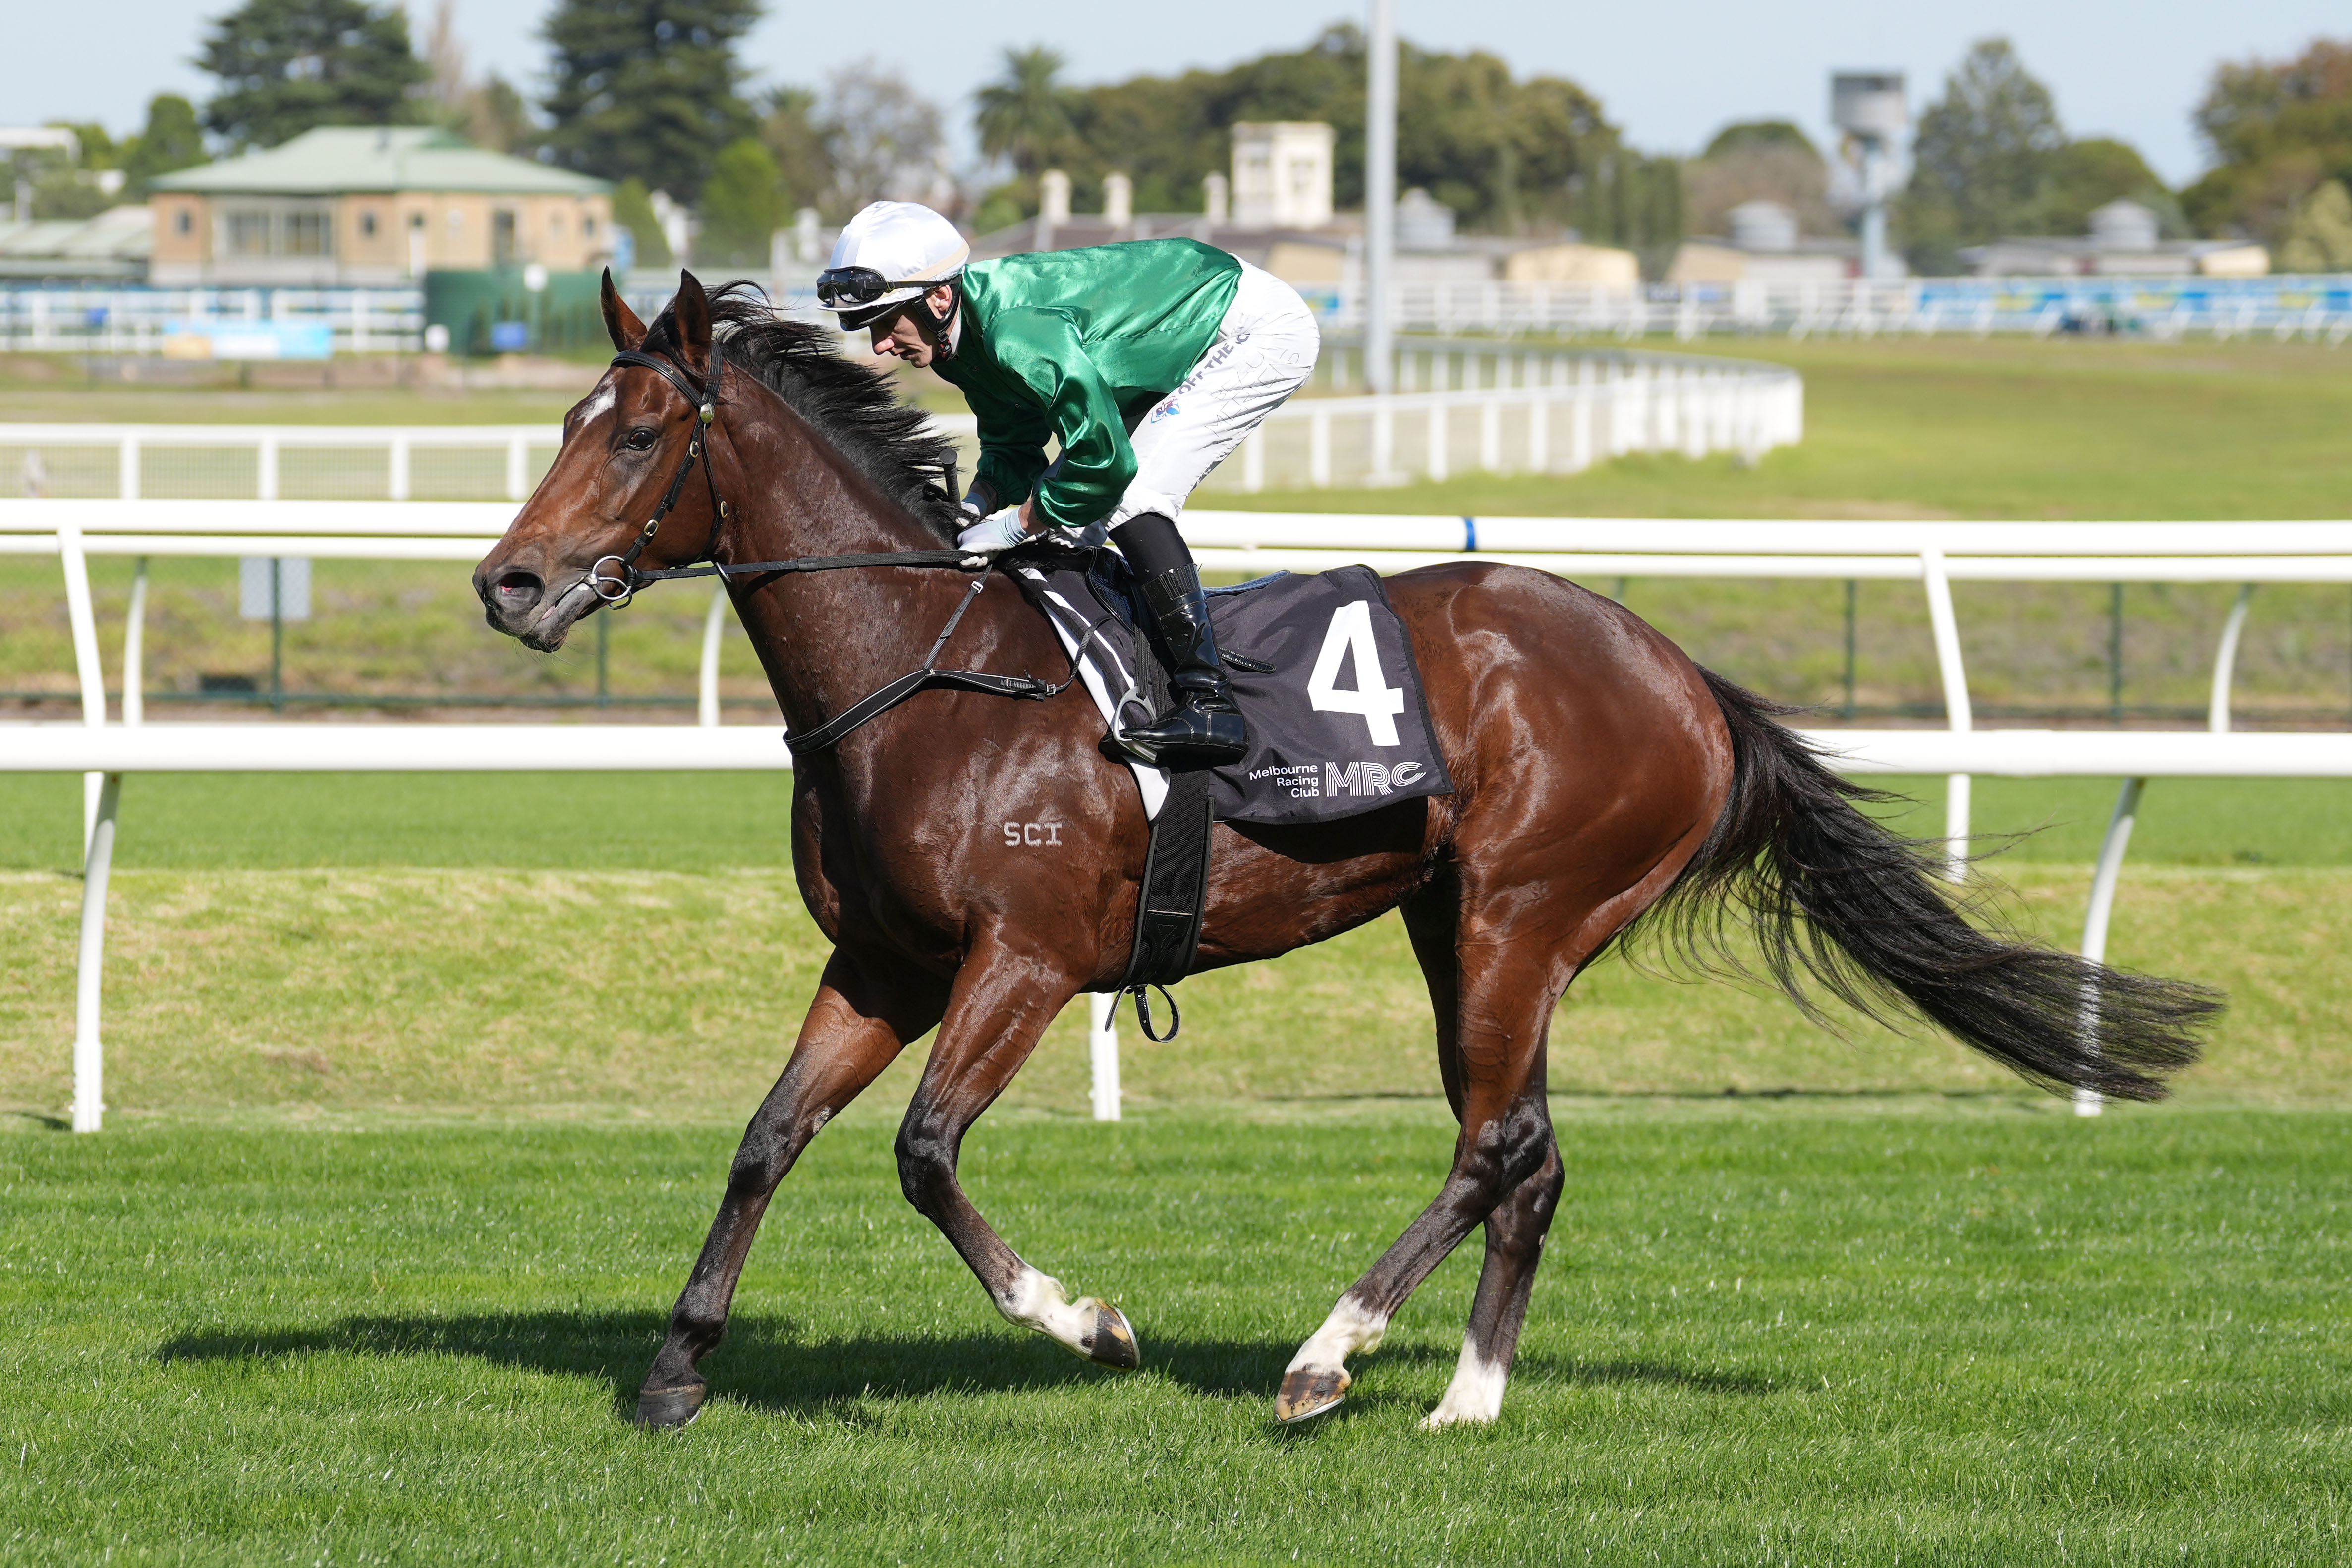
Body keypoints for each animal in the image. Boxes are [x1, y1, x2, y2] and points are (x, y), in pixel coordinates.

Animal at [473, 272, 2217, 1431]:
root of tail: (1681, 674)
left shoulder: (1022, 959)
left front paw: (1087, 1320)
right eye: (564, 418)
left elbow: (922, 1151)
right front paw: (675, 1369)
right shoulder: (883, 960)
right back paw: (1466, 1396)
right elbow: (766, 1137)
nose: (508, 583)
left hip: (1523, 909)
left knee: (1493, 1142)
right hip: (1463, 924)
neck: (934, 675)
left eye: (637, 434)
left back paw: (1326, 1358)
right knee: (1530, 1146)